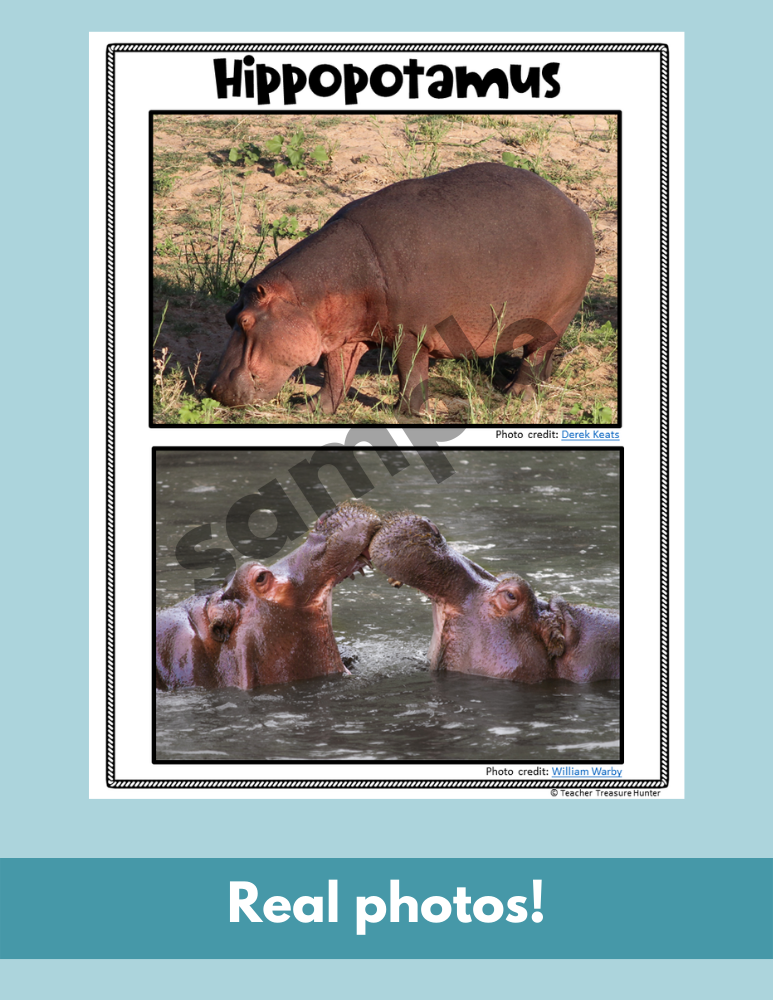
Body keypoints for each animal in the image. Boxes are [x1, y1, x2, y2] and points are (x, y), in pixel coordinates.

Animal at [206, 162, 595, 414]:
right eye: (227, 316)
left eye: (245, 322)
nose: (213, 389)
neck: (309, 296)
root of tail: (577, 211)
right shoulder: (344, 336)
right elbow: (336, 376)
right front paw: (309, 408)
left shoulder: (411, 333)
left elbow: (409, 373)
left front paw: (407, 413)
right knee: (544, 356)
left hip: (554, 316)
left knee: (535, 356)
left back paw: (516, 396)